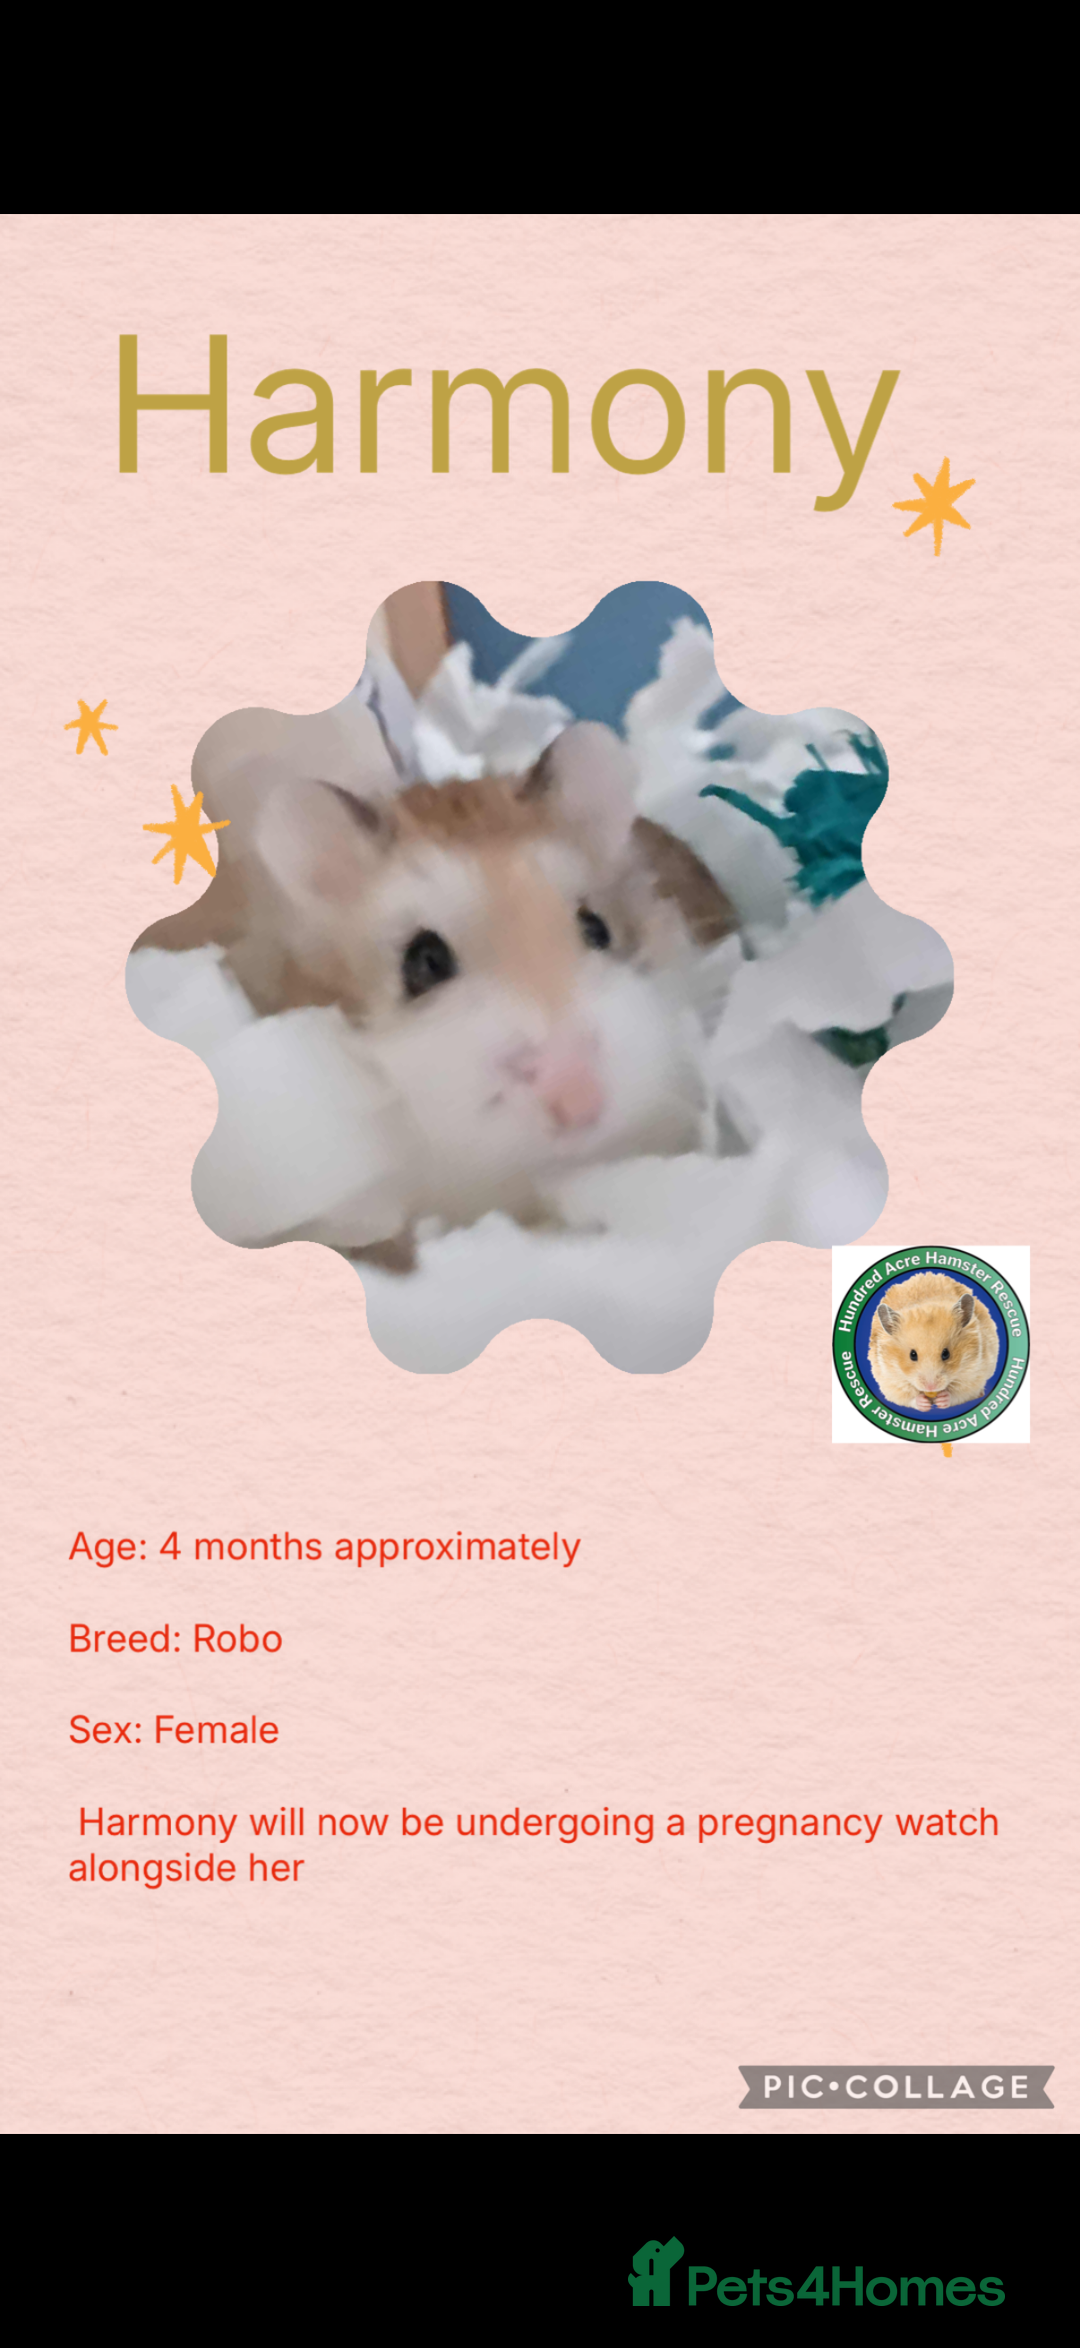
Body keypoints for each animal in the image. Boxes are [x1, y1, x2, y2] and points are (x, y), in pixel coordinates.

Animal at [869, 1272, 999, 1412]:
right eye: (912, 1355)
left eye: (946, 1354)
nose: (931, 1387)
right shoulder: (889, 1380)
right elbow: (906, 1397)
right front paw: (924, 1404)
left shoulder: (975, 1373)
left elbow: (960, 1393)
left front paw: (942, 1399)